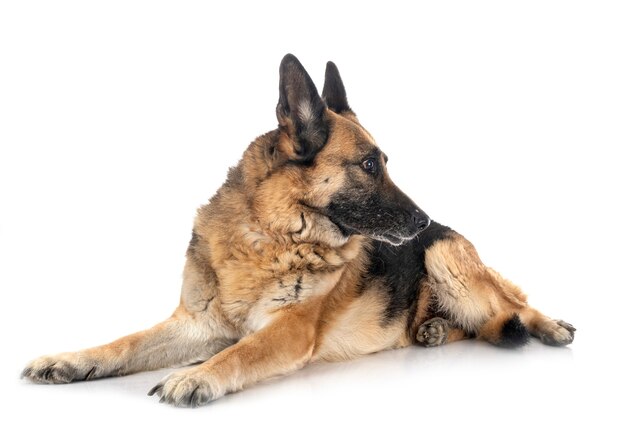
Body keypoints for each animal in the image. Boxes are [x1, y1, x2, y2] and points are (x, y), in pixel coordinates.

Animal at [22, 54, 572, 408]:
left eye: (383, 163)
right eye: (369, 164)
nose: (421, 220)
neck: (268, 237)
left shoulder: (287, 330)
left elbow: (242, 350)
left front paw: (197, 375)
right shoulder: (196, 323)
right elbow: (124, 344)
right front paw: (71, 360)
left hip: (445, 259)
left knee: (513, 305)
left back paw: (550, 326)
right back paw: (434, 328)